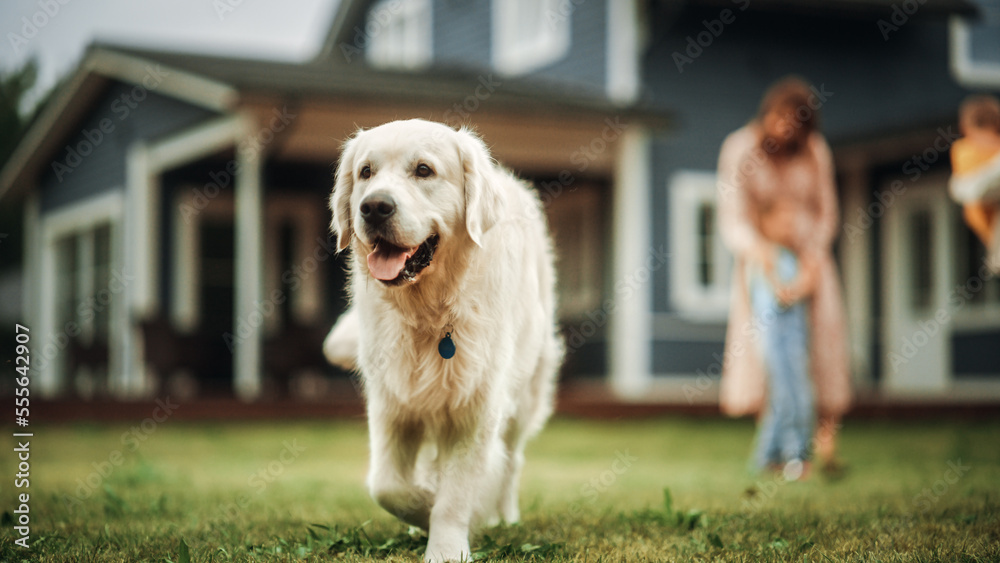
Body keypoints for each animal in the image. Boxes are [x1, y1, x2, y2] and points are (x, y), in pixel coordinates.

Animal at [328, 118, 564, 560]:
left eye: (424, 170)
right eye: (366, 172)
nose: (374, 207)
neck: (429, 315)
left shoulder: (476, 407)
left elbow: (455, 496)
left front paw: (447, 544)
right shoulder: (393, 405)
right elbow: (387, 486)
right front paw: (423, 507)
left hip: (525, 396)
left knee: (512, 461)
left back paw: (505, 514)